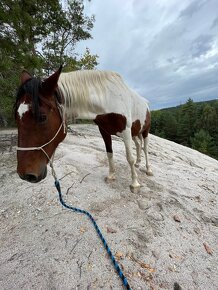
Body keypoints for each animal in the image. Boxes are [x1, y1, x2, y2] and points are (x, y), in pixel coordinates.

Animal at [14, 65, 152, 193]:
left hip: (144, 131)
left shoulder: (126, 131)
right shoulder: (104, 131)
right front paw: (111, 175)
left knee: (145, 148)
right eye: (16, 116)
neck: (110, 98)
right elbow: (109, 154)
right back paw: (139, 163)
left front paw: (135, 184)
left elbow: (129, 158)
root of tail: (146, 104)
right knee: (138, 145)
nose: (25, 175)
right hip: (135, 133)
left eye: (42, 117)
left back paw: (148, 169)